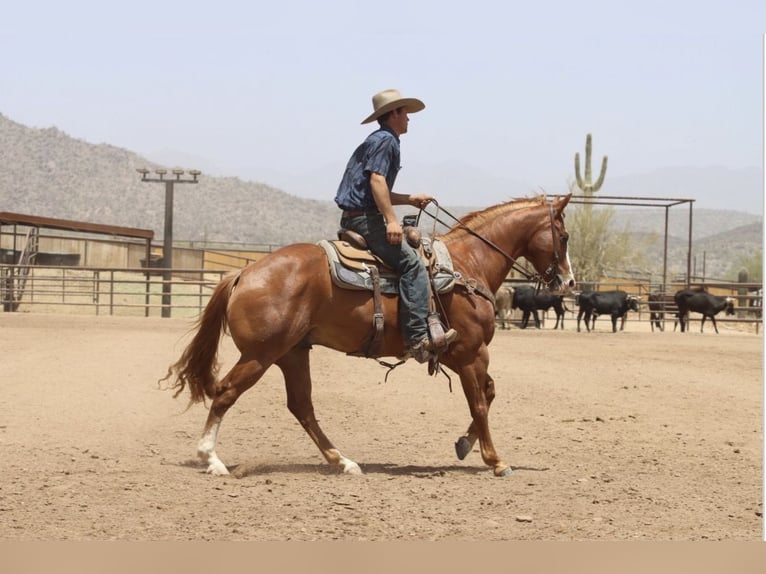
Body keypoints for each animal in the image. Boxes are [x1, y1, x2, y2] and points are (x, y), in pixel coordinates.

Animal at [161, 194, 575, 478]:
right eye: (565, 235)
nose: (569, 282)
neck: (466, 266)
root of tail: (244, 273)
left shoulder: (463, 355)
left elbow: (488, 394)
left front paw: (464, 444)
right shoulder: (472, 353)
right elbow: (480, 403)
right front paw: (496, 460)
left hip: (293, 353)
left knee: (302, 406)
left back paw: (342, 461)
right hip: (261, 355)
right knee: (226, 392)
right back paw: (212, 459)